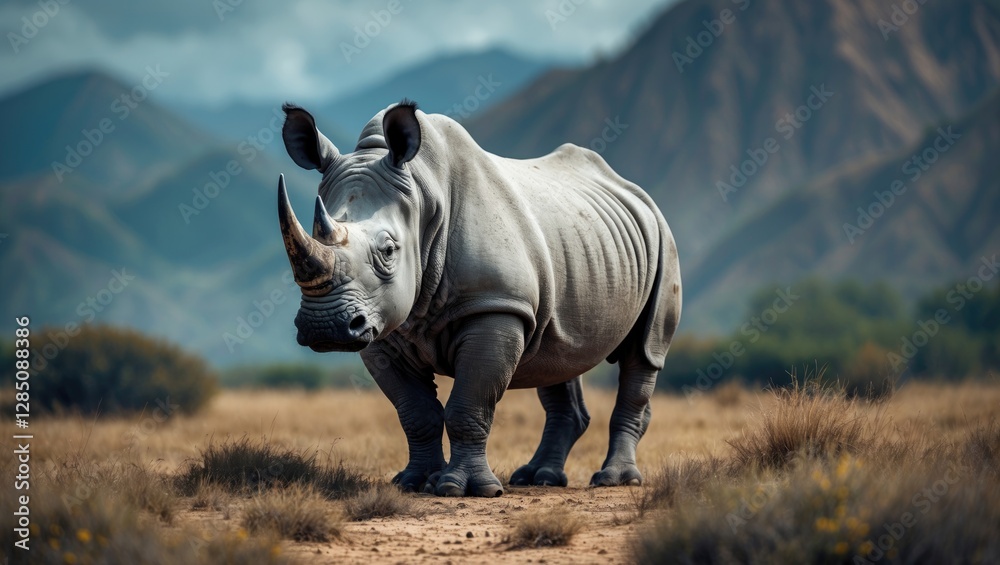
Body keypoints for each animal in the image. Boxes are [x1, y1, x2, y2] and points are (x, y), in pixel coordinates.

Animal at [277, 100, 681, 497]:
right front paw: (414, 483)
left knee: (643, 352)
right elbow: (415, 412)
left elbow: (469, 405)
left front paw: (463, 488)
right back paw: (538, 478)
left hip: (662, 237)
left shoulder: (496, 305)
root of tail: (632, 190)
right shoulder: (382, 326)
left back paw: (615, 479)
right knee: (557, 355)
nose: (325, 327)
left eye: (389, 250)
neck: (422, 195)